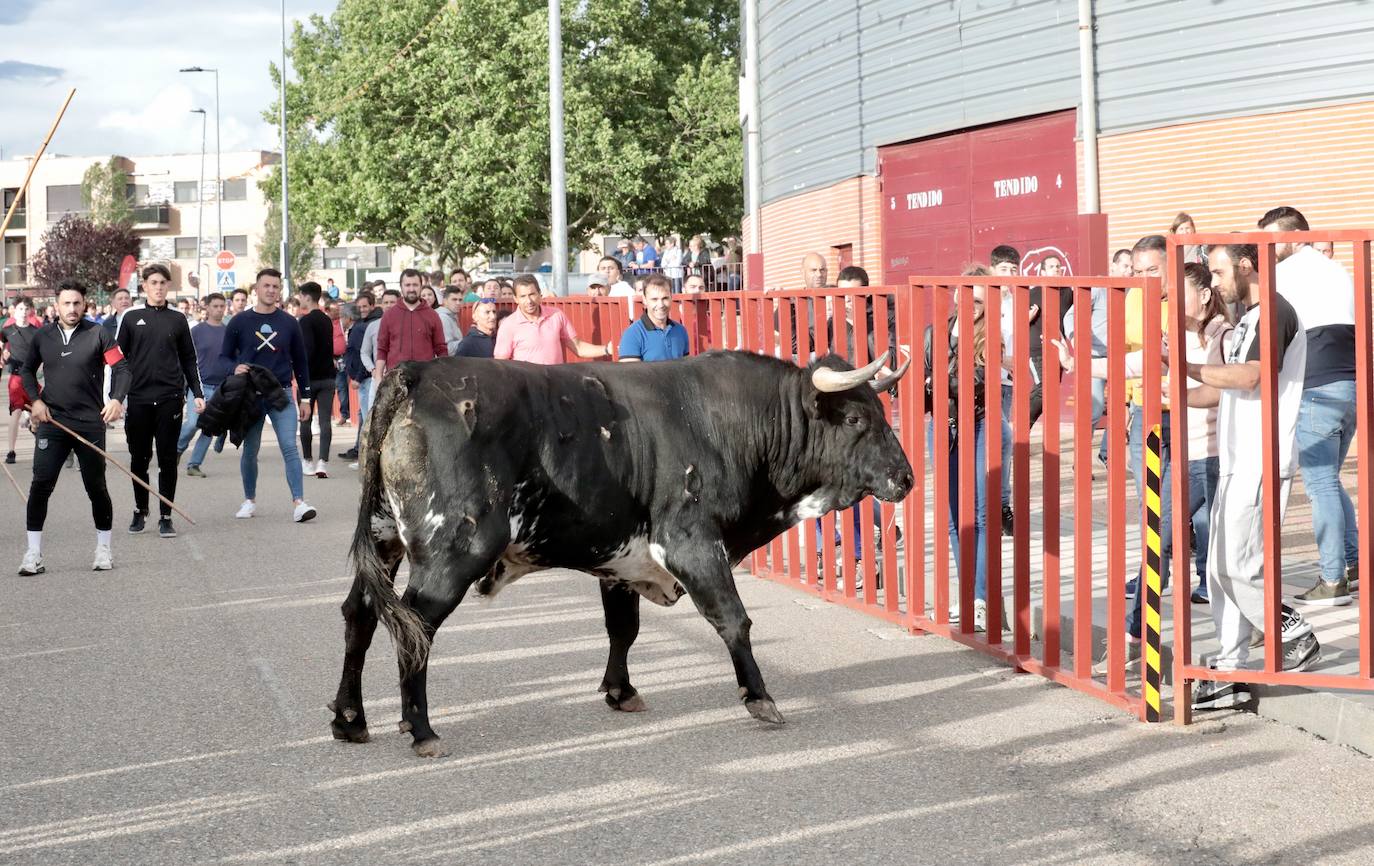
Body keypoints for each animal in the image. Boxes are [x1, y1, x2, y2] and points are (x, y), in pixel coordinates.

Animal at [329, 351, 912, 758]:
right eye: (856, 420)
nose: (905, 478)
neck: (730, 423)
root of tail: (418, 372)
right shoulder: (691, 541)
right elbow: (733, 620)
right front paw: (760, 698)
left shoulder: (619, 559)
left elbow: (622, 629)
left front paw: (620, 690)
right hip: (453, 549)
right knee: (415, 626)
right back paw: (421, 728)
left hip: (384, 538)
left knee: (361, 614)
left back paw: (350, 720)